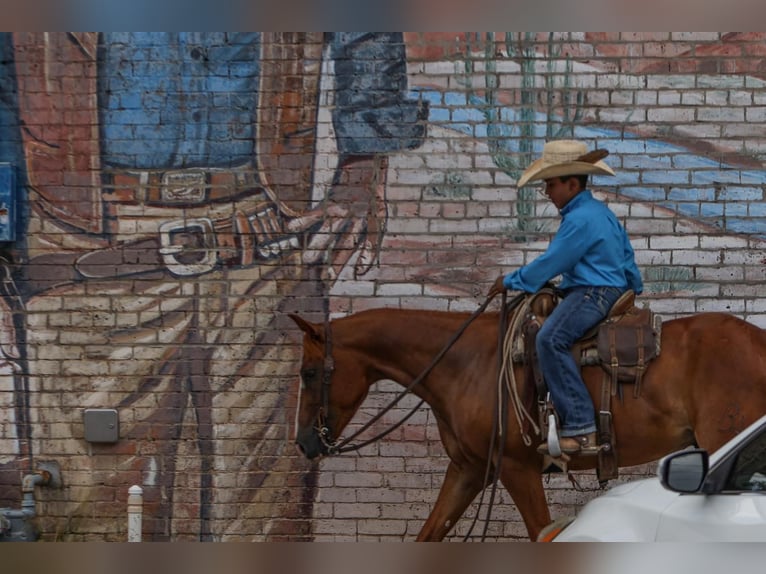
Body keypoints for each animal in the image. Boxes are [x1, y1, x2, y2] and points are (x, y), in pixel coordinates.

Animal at [288, 308, 766, 544]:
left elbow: (544, 534)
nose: (305, 442)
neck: (466, 365)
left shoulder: (517, 468)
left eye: (309, 373)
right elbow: (430, 533)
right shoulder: (469, 470)